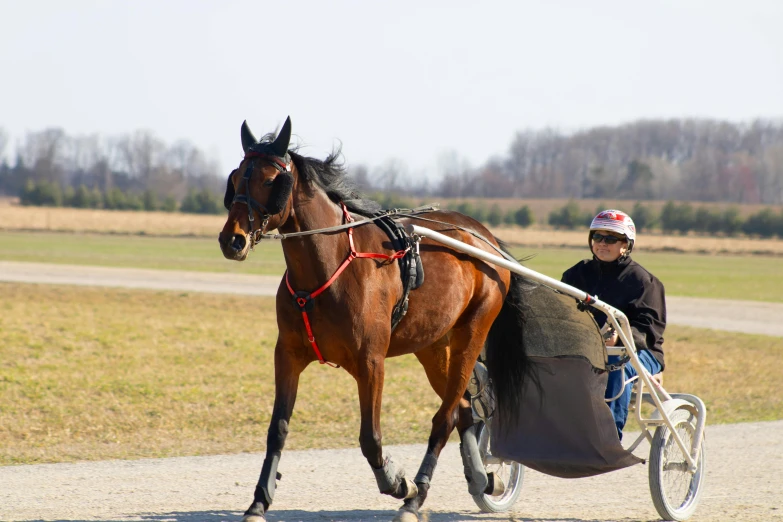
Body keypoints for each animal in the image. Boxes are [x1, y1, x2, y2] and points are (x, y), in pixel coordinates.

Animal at [216, 118, 532, 520]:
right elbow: (278, 429)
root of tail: (485, 239)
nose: (233, 240)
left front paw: (399, 482)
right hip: (432, 345)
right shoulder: (287, 355)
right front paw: (259, 500)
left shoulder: (370, 361)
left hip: (472, 333)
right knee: (463, 410)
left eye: (272, 179)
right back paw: (479, 478)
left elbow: (370, 438)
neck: (327, 268)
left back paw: (415, 497)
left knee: (445, 418)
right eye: (236, 177)